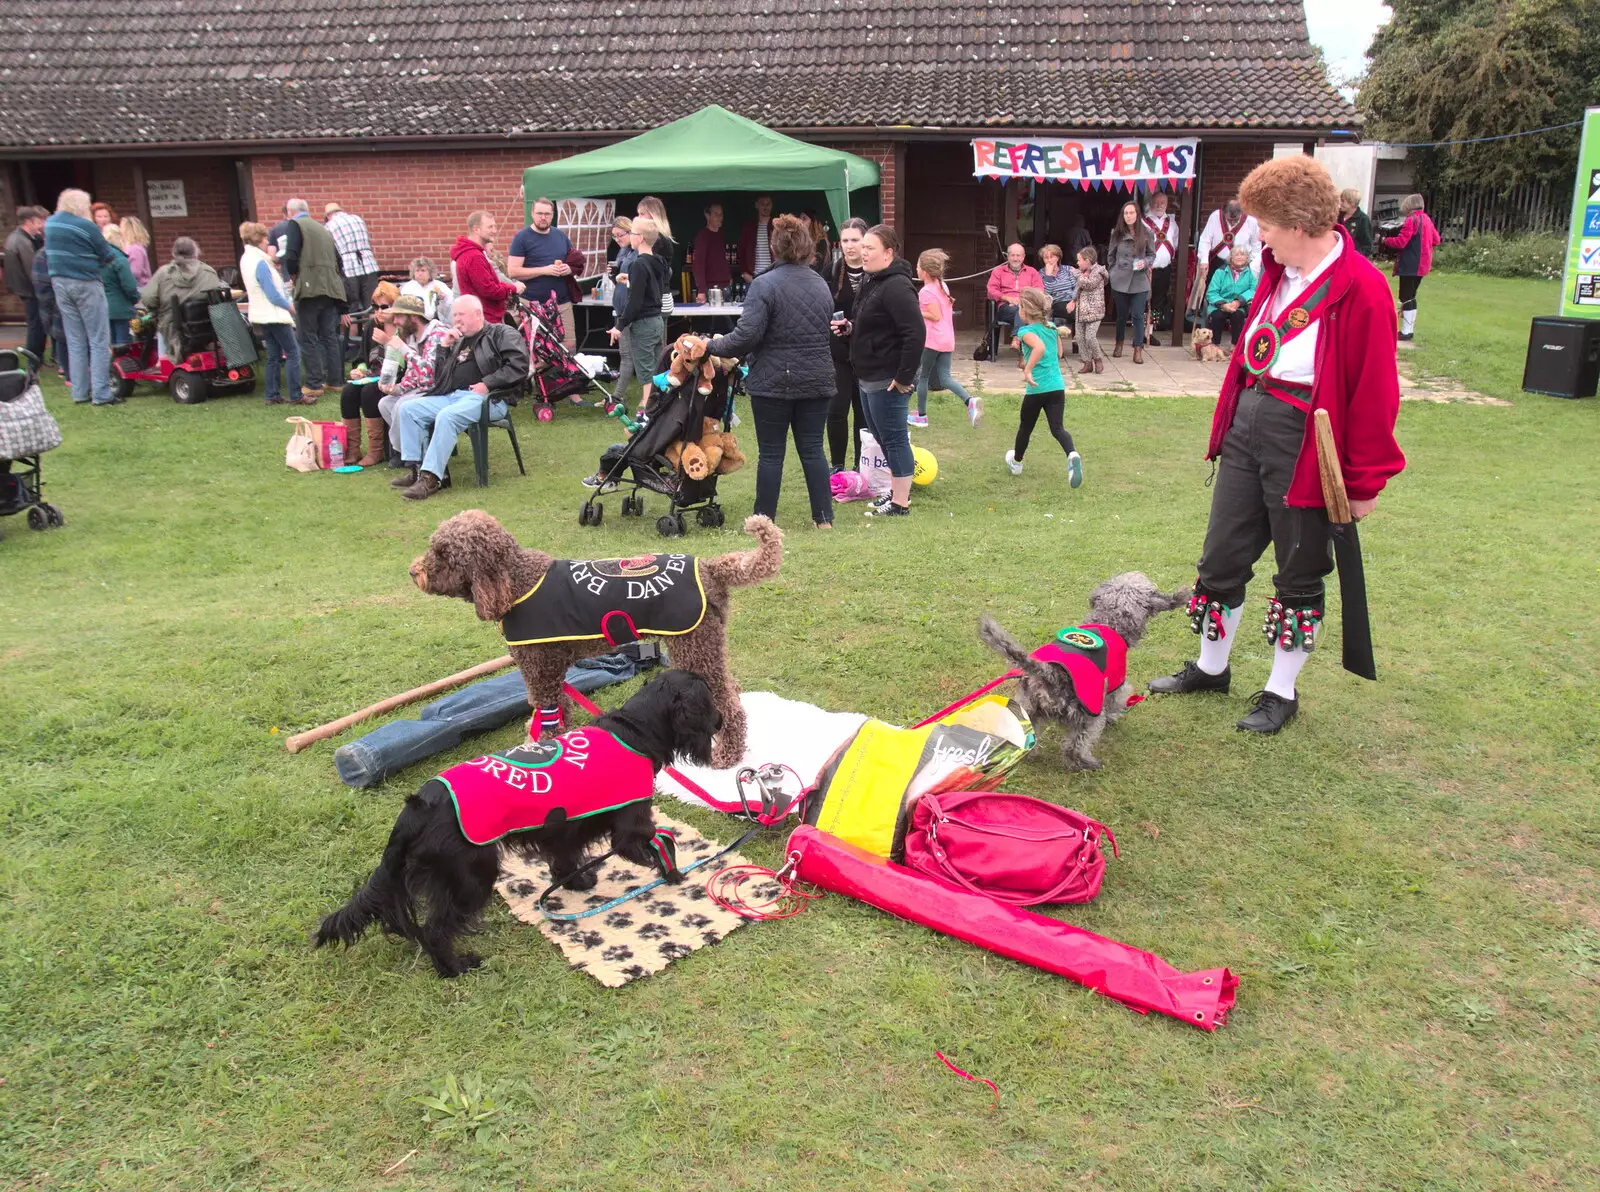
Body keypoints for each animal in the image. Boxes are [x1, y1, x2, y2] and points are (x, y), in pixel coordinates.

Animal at [313, 668, 726, 979]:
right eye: (708, 702)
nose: (723, 720)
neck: (635, 731)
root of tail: (419, 807)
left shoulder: (563, 830)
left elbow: (565, 860)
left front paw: (577, 883)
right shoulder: (631, 828)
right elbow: (663, 841)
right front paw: (674, 876)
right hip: (471, 875)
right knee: (433, 931)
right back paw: (455, 967)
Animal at [406, 505, 780, 768]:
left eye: (443, 553)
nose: (413, 572)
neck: (516, 581)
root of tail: (710, 566)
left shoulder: (540, 672)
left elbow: (548, 720)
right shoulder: (551, 672)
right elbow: (559, 712)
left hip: (695, 646)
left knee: (730, 705)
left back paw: (727, 756)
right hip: (707, 646)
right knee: (732, 689)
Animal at [979, 569, 1196, 771]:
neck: (1109, 621)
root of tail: (1050, 673)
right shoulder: (1116, 684)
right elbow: (1115, 702)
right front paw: (1114, 717)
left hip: (1027, 710)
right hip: (1088, 716)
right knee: (1073, 747)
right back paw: (1088, 763)